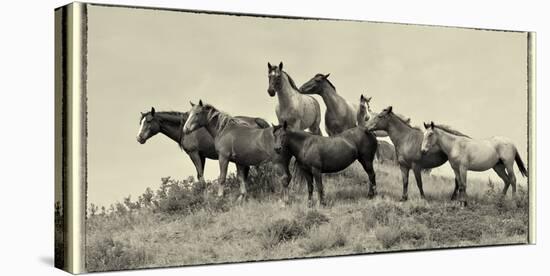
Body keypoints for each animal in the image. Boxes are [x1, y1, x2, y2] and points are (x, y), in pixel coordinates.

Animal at [138, 106, 272, 184]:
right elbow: (200, 176)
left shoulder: (194, 154)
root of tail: (256, 120)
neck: (186, 129)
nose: (139, 137)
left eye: (148, 121)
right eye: (141, 122)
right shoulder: (202, 156)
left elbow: (201, 178)